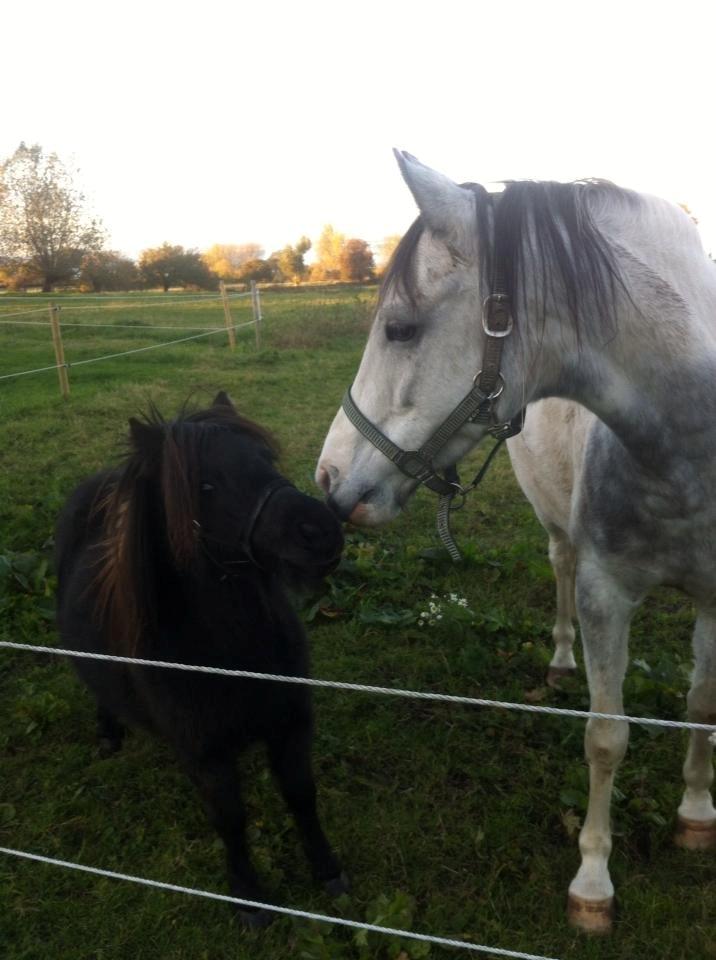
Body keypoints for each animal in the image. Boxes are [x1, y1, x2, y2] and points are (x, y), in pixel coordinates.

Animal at [55, 391, 347, 927]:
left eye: (267, 459)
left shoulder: (291, 726)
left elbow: (301, 794)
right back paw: (108, 734)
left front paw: (327, 869)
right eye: (205, 486)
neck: (228, 653)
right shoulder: (204, 754)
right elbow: (230, 820)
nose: (321, 532)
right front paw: (249, 897)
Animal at [316, 150, 716, 933]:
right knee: (559, 567)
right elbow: (606, 736)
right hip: (560, 533)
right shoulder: (604, 593)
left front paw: (696, 812)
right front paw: (592, 882)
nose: (328, 476)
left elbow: (702, 707)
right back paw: (559, 661)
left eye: (400, 329)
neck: (691, 446)